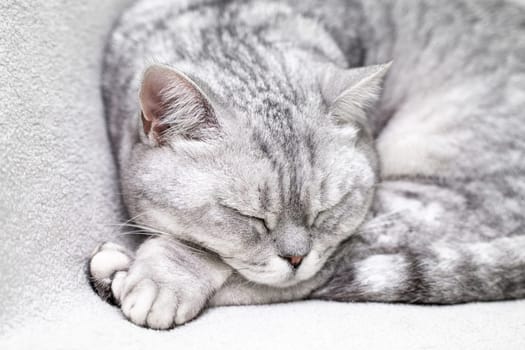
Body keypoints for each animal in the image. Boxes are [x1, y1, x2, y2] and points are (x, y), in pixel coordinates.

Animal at [88, 0, 524, 330]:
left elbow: (221, 260)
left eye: (325, 211)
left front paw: (162, 276)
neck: (229, 26)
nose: (296, 259)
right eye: (248, 216)